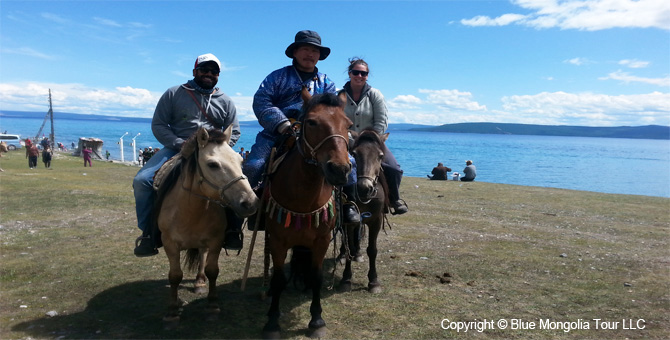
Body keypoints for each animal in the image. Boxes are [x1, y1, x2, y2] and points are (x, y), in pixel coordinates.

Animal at [155, 126, 258, 326]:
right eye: (212, 164)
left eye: (241, 160)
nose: (250, 202)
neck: (189, 211)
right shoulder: (169, 243)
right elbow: (175, 275)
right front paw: (172, 311)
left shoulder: (216, 240)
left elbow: (212, 271)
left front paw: (212, 306)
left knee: (202, 255)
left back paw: (200, 282)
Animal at [260, 92, 352, 338]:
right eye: (311, 122)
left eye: (348, 125)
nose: (339, 169)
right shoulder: (278, 241)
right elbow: (279, 278)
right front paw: (272, 321)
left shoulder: (321, 240)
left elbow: (317, 276)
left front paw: (317, 320)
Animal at [342, 129, 388, 294]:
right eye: (354, 154)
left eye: (380, 156)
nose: (364, 188)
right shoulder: (347, 222)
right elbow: (348, 246)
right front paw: (346, 278)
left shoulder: (376, 221)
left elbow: (372, 250)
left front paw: (374, 281)